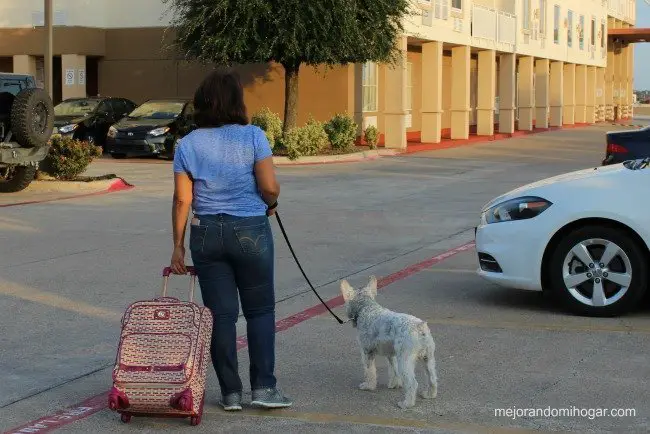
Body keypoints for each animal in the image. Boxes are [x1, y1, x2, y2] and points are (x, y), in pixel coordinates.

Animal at [340, 276, 436, 408]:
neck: (366, 308)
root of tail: (419, 327)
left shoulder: (367, 352)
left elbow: (369, 371)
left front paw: (368, 386)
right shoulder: (391, 355)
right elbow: (393, 370)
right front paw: (394, 384)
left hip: (405, 361)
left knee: (412, 383)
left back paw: (406, 403)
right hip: (429, 359)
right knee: (432, 379)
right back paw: (429, 394)